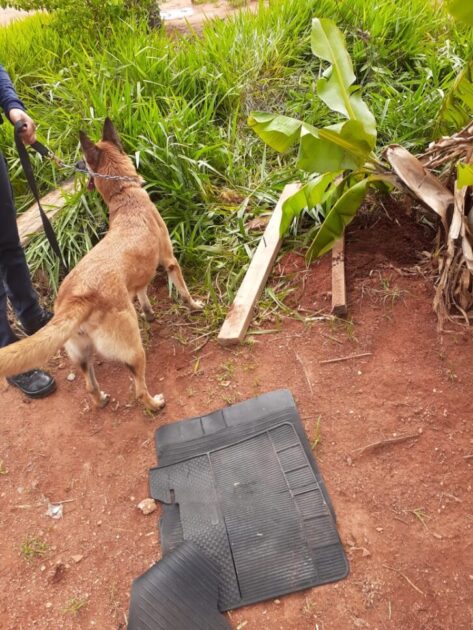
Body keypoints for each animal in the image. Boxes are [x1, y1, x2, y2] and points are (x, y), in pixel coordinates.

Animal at [0, 119, 201, 410]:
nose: (77, 166)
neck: (124, 196)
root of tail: (77, 298)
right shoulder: (169, 260)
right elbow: (183, 291)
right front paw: (195, 306)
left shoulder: (138, 277)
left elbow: (142, 293)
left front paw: (149, 313)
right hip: (134, 349)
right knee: (138, 390)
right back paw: (155, 403)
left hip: (82, 355)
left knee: (89, 385)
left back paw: (102, 399)